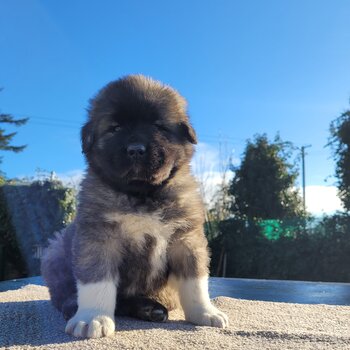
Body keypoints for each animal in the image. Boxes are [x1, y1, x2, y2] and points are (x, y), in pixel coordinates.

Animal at [41, 74, 228, 340]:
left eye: (158, 126)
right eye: (115, 128)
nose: (136, 150)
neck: (141, 194)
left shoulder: (186, 237)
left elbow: (195, 280)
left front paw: (204, 312)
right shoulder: (98, 236)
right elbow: (96, 279)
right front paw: (92, 317)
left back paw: (150, 308)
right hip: (55, 253)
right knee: (65, 295)